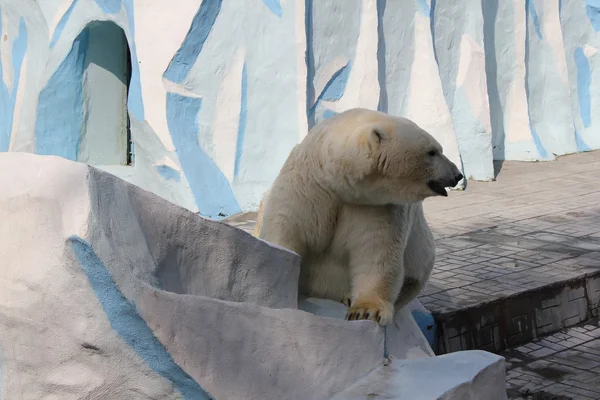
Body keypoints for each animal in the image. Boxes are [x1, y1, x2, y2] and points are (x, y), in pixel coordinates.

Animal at [251, 108, 462, 324]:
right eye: (432, 152)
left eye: (438, 149)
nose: (457, 175)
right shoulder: (307, 186)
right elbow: (287, 230)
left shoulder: (375, 206)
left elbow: (375, 251)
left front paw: (366, 310)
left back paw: (348, 297)